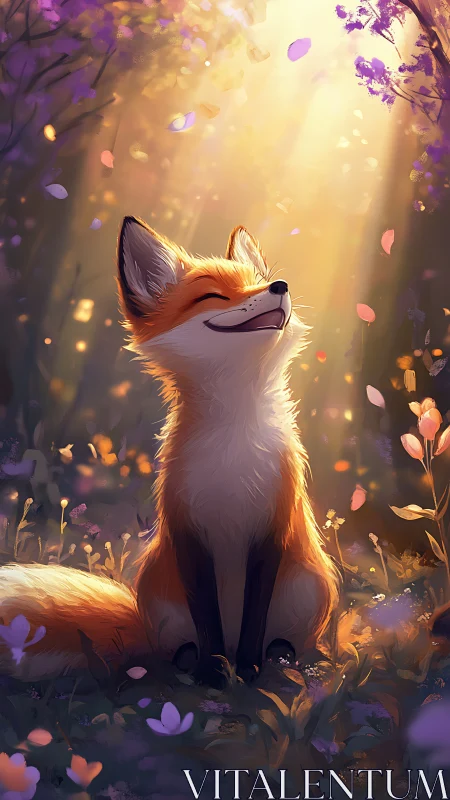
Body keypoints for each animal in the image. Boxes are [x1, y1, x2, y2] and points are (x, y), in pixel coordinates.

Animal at [0, 217, 339, 685]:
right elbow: (206, 619)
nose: (280, 286)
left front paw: (247, 671)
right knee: (183, 645)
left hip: (309, 589)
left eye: (258, 281)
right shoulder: (188, 532)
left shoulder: (272, 529)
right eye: (214, 295)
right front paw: (214, 675)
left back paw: (279, 658)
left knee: (277, 638)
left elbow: (255, 615)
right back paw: (190, 663)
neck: (232, 448)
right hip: (161, 600)